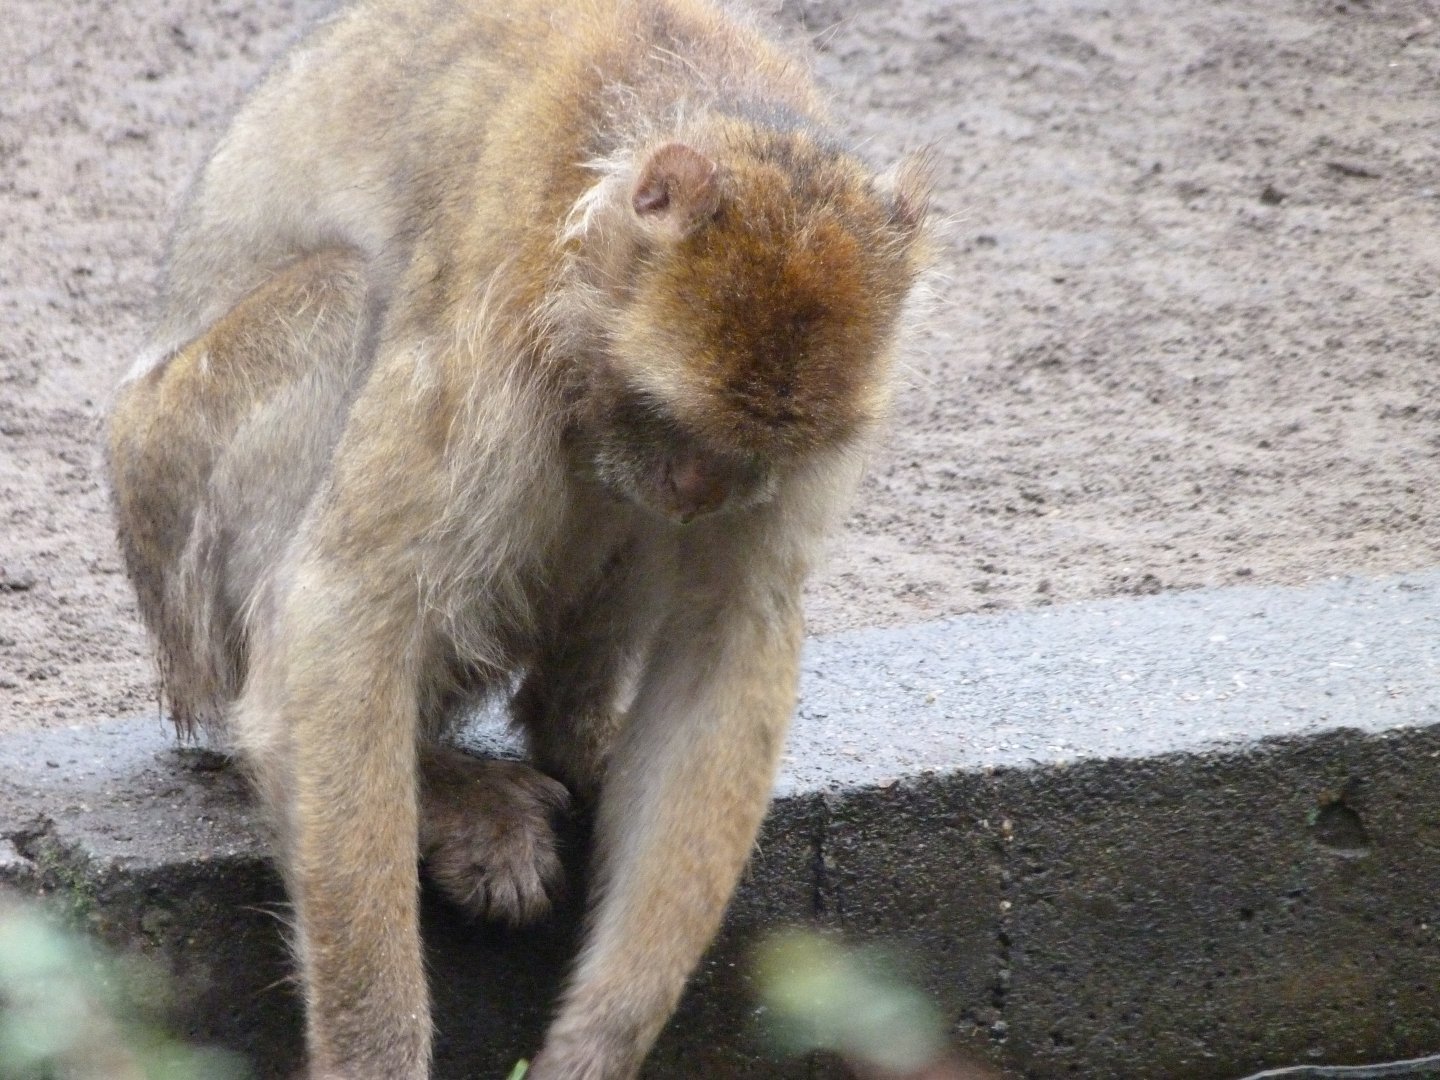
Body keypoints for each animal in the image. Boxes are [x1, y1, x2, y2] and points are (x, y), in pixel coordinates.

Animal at [107, 0, 929, 1076]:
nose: (702, 486)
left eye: (755, 450)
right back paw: (446, 785)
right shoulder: (490, 336)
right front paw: (375, 1047)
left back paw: (572, 732)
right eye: (676, 419)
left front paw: (602, 1038)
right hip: (173, 515)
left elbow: (726, 634)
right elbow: (344, 610)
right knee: (339, 302)